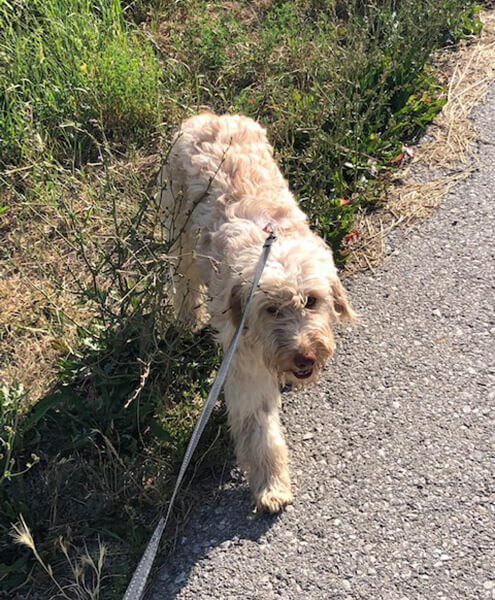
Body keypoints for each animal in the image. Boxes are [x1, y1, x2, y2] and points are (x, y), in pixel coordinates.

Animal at [157, 112, 355, 512]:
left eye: (311, 300)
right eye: (270, 309)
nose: (305, 357)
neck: (269, 243)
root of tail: (207, 116)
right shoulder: (244, 365)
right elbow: (258, 427)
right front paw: (271, 486)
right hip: (178, 229)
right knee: (183, 281)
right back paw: (186, 321)